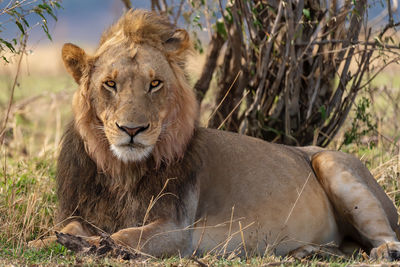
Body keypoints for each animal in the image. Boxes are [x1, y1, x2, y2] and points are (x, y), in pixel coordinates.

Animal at [29, 10, 400, 262]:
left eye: (154, 83)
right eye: (110, 83)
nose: (132, 130)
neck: (121, 172)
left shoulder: (176, 231)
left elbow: (125, 236)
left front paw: (93, 245)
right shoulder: (81, 213)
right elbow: (61, 232)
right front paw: (46, 242)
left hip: (330, 161)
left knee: (388, 237)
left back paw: (382, 253)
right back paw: (307, 252)